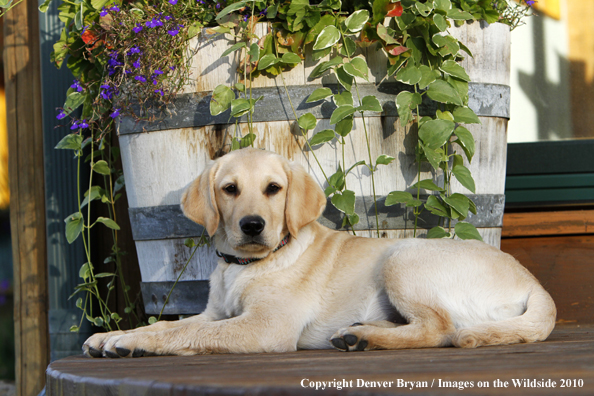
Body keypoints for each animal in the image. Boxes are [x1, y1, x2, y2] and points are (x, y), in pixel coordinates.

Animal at [83, 147, 556, 358]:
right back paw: (360, 331)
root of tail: (535, 284)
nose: (252, 225)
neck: (246, 266)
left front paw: (134, 341)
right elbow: (173, 324)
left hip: (403, 259)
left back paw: (364, 337)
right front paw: (112, 336)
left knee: (439, 328)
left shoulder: (266, 327)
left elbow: (184, 334)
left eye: (274, 189)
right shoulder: (216, 314)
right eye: (229, 189)